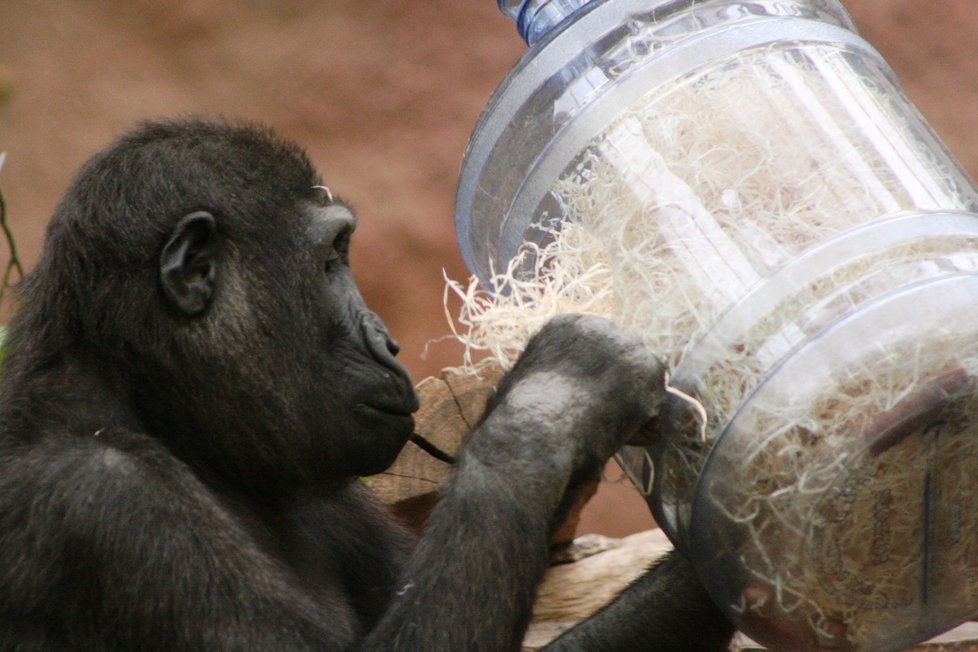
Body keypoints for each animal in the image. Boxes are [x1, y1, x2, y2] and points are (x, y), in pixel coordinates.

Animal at [0, 119, 732, 648]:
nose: (386, 338)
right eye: (331, 260)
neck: (162, 413)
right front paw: (558, 395)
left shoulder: (341, 501)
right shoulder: (103, 500)